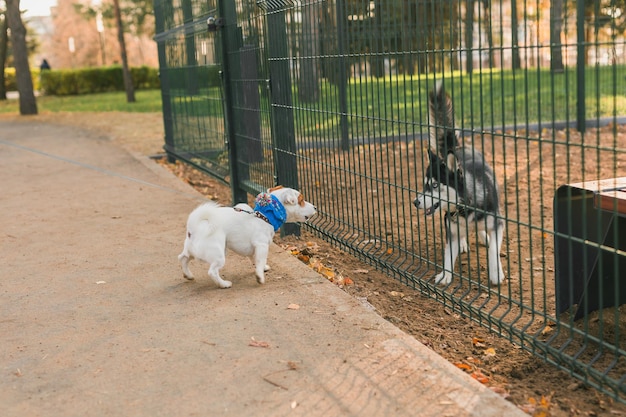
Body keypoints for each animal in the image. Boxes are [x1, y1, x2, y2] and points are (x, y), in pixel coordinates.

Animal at [179, 187, 316, 288]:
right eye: (301, 201)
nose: (315, 207)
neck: (265, 216)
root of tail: (194, 228)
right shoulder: (261, 245)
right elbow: (260, 261)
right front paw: (260, 277)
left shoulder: (254, 249)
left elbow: (256, 260)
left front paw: (263, 269)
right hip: (219, 255)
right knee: (212, 271)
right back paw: (224, 284)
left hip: (192, 251)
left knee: (183, 258)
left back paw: (188, 275)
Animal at [412, 82, 504, 284]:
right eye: (424, 185)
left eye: (435, 185)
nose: (415, 202)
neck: (464, 206)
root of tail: (457, 148)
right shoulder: (450, 229)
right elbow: (448, 255)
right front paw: (445, 275)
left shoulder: (498, 224)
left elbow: (494, 249)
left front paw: (496, 273)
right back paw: (464, 242)